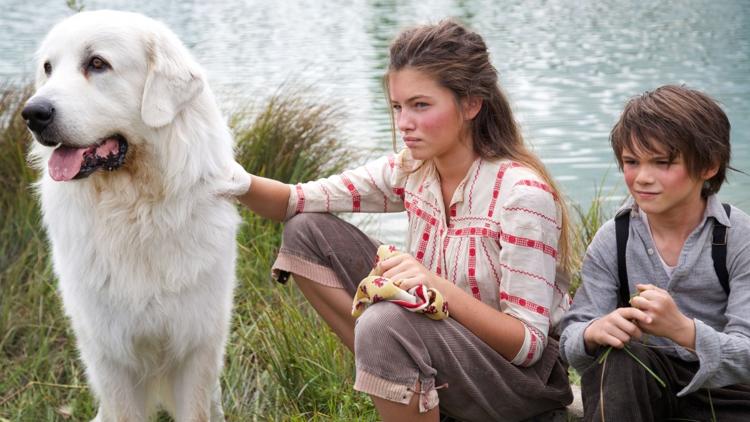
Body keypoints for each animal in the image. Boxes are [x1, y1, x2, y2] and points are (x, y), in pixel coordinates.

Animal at [20, 10, 248, 422]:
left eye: (97, 64)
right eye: (48, 68)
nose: (32, 113)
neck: (135, 213)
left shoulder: (196, 346)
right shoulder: (110, 355)